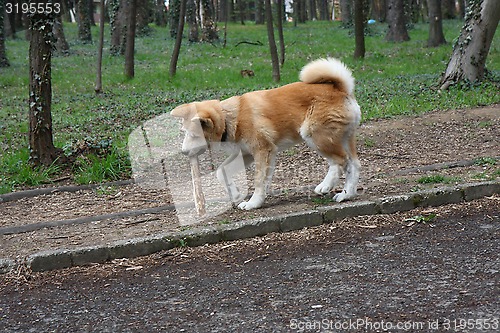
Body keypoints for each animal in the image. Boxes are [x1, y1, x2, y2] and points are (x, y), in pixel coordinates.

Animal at [171, 56, 360, 208]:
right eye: (184, 132)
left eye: (194, 135)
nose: (184, 152)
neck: (230, 118)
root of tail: (340, 89)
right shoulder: (245, 153)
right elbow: (221, 172)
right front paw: (235, 194)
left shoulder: (263, 151)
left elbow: (259, 182)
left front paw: (253, 203)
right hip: (342, 138)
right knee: (353, 164)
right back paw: (346, 194)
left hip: (314, 135)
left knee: (341, 161)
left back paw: (329, 187)